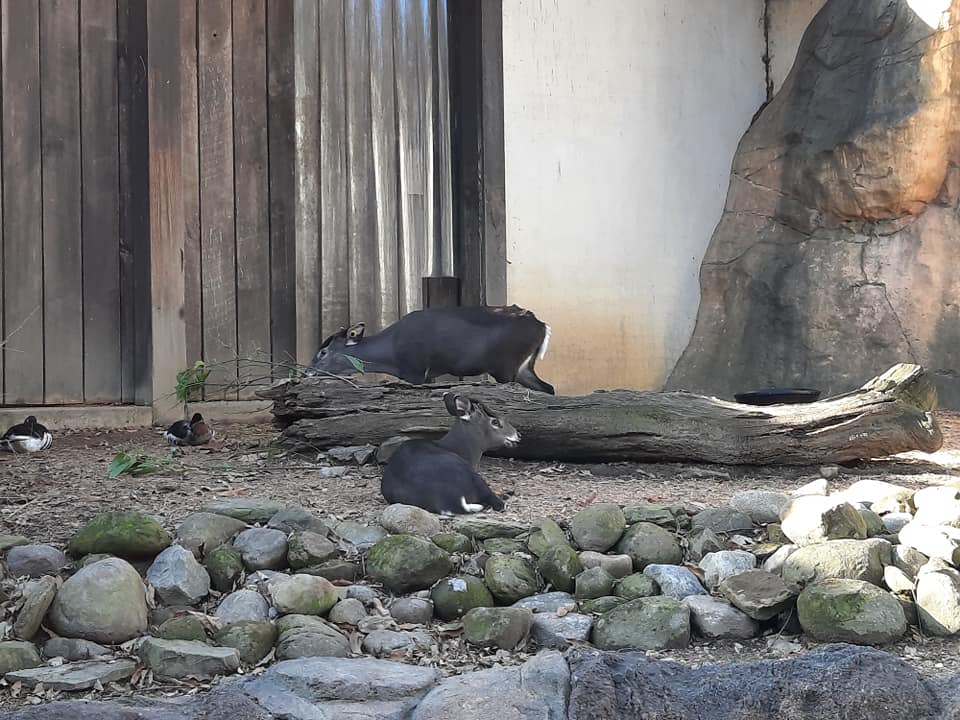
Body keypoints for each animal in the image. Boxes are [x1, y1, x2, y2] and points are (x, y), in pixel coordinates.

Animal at [307, 305, 555, 394]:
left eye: (323, 352)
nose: (308, 372)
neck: (391, 354)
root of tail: (543, 325)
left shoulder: (415, 370)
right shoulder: (427, 374)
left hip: (506, 365)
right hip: (523, 366)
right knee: (548, 388)